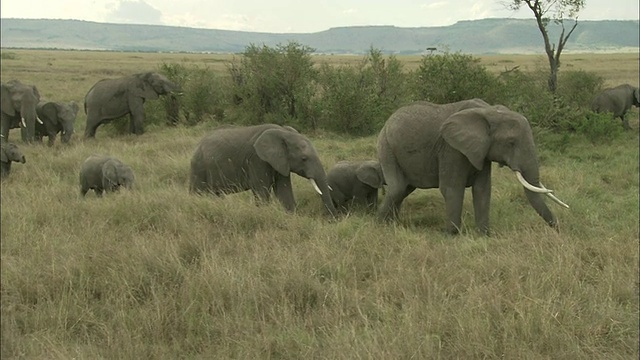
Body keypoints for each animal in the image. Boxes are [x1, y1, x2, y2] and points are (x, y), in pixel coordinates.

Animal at [190, 123, 338, 217]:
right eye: (304, 158)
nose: (333, 218)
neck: (283, 132)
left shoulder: (280, 161)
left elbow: (284, 190)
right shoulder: (257, 160)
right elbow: (262, 190)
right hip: (199, 168)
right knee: (198, 193)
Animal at [378, 98, 568, 235]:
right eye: (511, 143)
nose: (559, 230)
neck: (490, 111)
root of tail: (387, 121)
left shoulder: (481, 151)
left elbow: (482, 189)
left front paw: (484, 235)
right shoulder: (451, 149)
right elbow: (452, 189)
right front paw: (452, 235)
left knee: (404, 190)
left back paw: (393, 224)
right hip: (386, 146)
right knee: (397, 188)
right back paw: (381, 224)